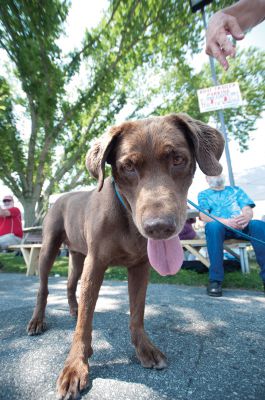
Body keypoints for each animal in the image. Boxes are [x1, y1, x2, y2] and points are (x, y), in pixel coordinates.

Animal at [27, 113, 223, 400]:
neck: (126, 218)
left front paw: (144, 348)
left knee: (70, 284)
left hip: (77, 255)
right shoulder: (95, 264)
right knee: (43, 288)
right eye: (128, 166)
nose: (159, 227)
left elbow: (137, 312)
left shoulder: (140, 267)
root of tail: (60, 198)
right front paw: (76, 365)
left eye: (178, 159)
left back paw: (72, 309)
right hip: (51, 247)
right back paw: (37, 321)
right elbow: (85, 323)